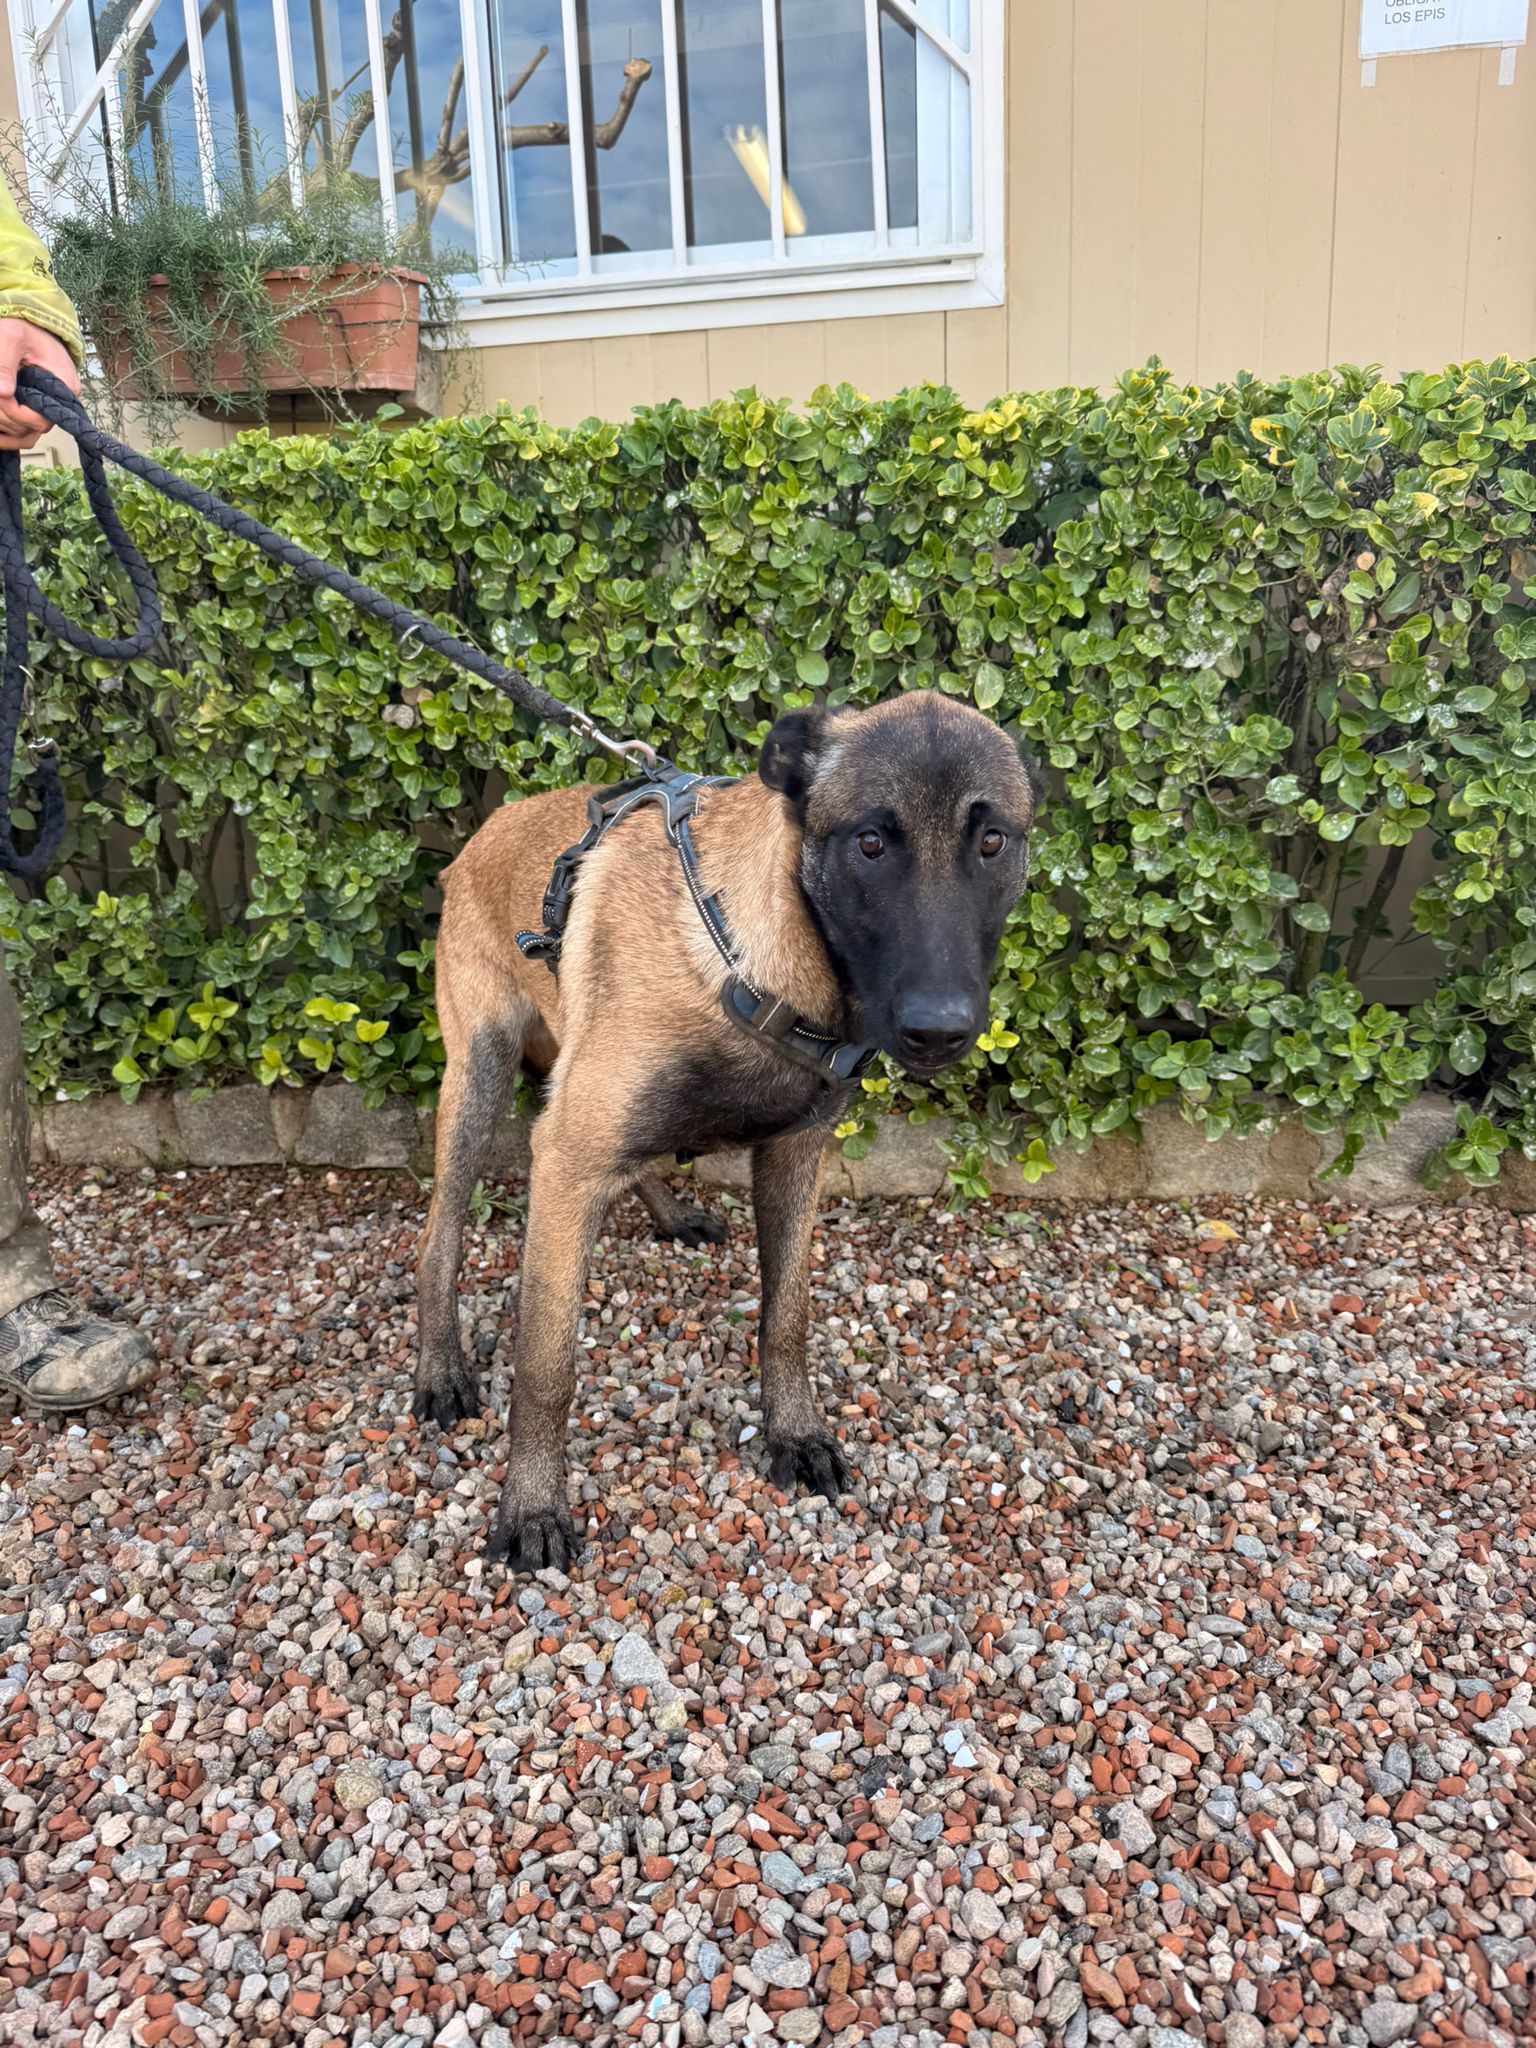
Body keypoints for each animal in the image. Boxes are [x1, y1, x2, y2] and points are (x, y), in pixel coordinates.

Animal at [415, 692, 1039, 1570]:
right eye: (871, 843)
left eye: (991, 842)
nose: (939, 1031)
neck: (746, 953)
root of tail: (482, 832)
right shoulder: (568, 1163)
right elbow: (546, 1368)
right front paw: (532, 1504)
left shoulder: (792, 1155)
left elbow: (788, 1317)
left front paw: (795, 1433)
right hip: (480, 1076)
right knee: (439, 1238)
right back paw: (440, 1368)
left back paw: (671, 1213)